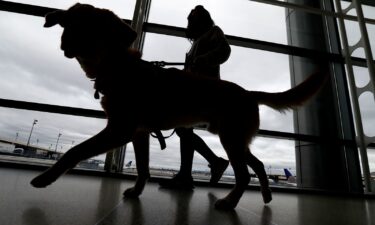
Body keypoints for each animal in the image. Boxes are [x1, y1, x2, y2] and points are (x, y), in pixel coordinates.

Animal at [30, 3, 328, 210]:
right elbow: (143, 167)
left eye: (91, 25)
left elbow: (75, 151)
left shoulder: (120, 130)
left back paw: (229, 203)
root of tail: (248, 92)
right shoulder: (139, 133)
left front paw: (45, 178)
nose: (66, 42)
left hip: (231, 139)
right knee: (258, 164)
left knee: (244, 174)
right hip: (236, 139)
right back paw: (265, 194)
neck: (119, 67)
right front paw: (137, 191)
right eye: (68, 23)